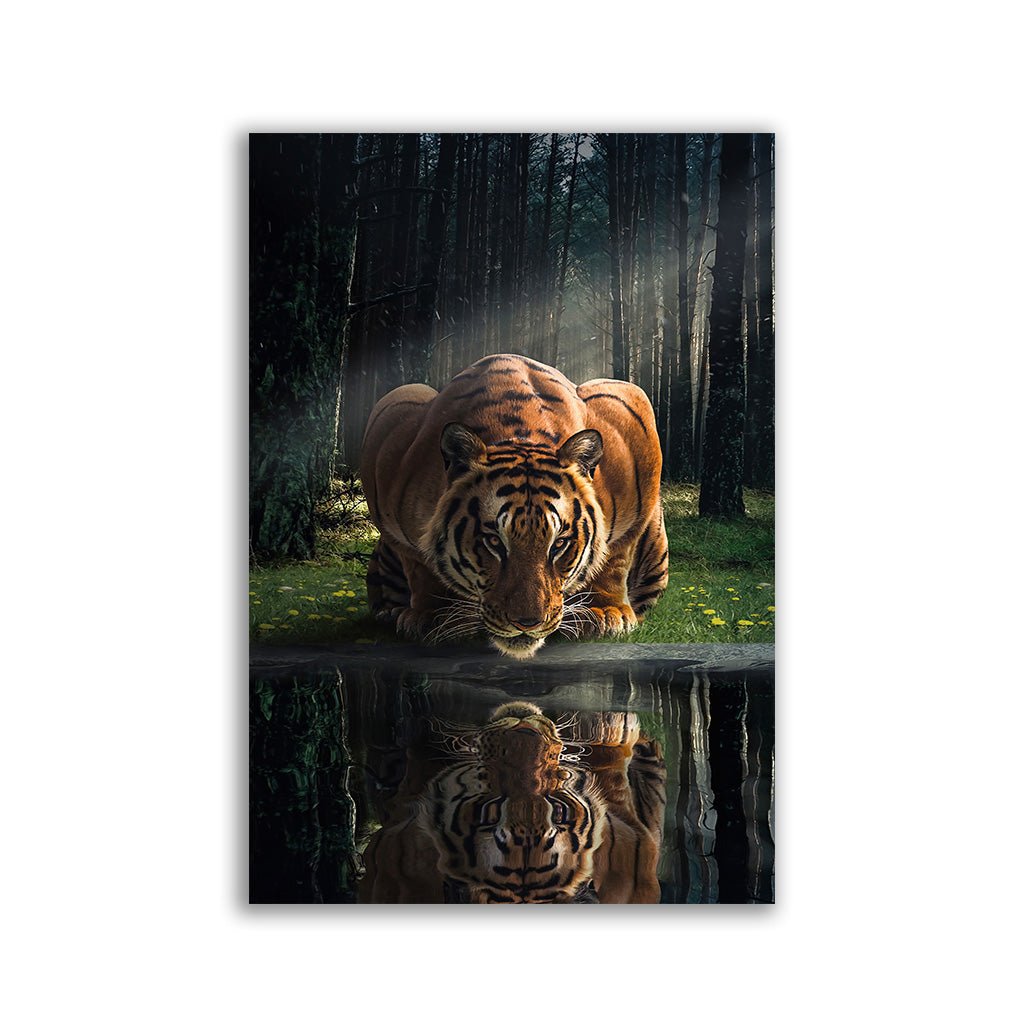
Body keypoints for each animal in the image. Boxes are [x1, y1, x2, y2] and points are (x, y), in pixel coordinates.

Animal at [359, 354, 669, 658]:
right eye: (494, 541)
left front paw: (604, 613)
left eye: (559, 544)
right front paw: (435, 617)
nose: (527, 623)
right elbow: (419, 564)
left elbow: (615, 556)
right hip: (404, 393)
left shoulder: (631, 422)